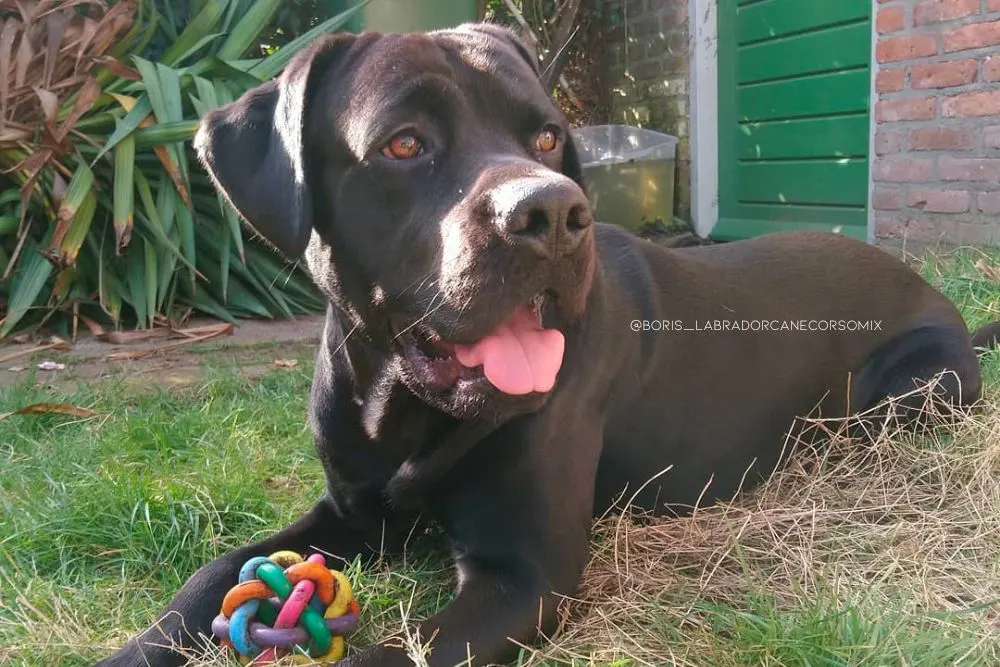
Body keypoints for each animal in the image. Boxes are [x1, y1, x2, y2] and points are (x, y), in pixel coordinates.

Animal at [95, 22, 1000, 667]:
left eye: (547, 138)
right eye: (403, 142)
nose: (554, 214)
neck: (400, 406)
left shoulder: (524, 574)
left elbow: (388, 654)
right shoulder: (349, 512)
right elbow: (210, 575)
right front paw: (132, 649)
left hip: (912, 392)